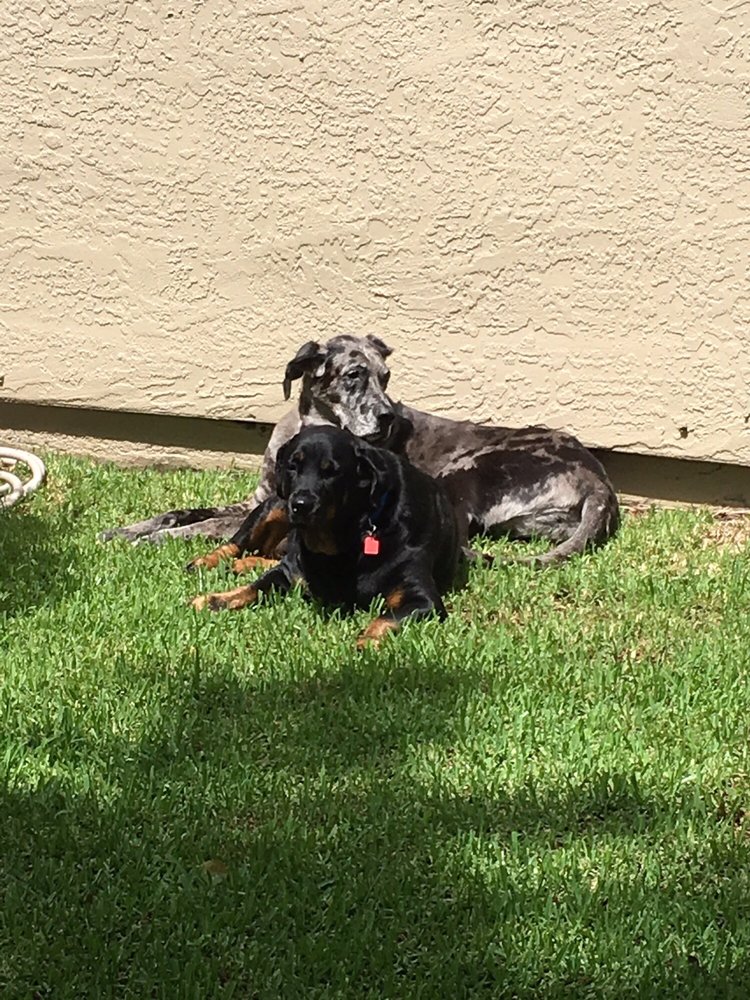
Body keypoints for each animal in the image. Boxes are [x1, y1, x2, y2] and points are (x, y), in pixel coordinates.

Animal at [102, 334, 619, 564]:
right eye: (355, 375)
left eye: (386, 378)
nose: (390, 416)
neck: (308, 431)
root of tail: (599, 481)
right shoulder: (257, 500)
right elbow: (180, 511)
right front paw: (127, 529)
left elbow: (202, 527)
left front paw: (154, 541)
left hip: (462, 472)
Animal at [190, 426, 464, 649]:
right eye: (293, 466)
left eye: (331, 472)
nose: (301, 504)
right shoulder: (288, 572)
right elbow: (253, 587)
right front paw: (215, 599)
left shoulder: (422, 598)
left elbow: (387, 617)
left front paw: (367, 639)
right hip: (275, 505)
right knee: (239, 544)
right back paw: (209, 561)